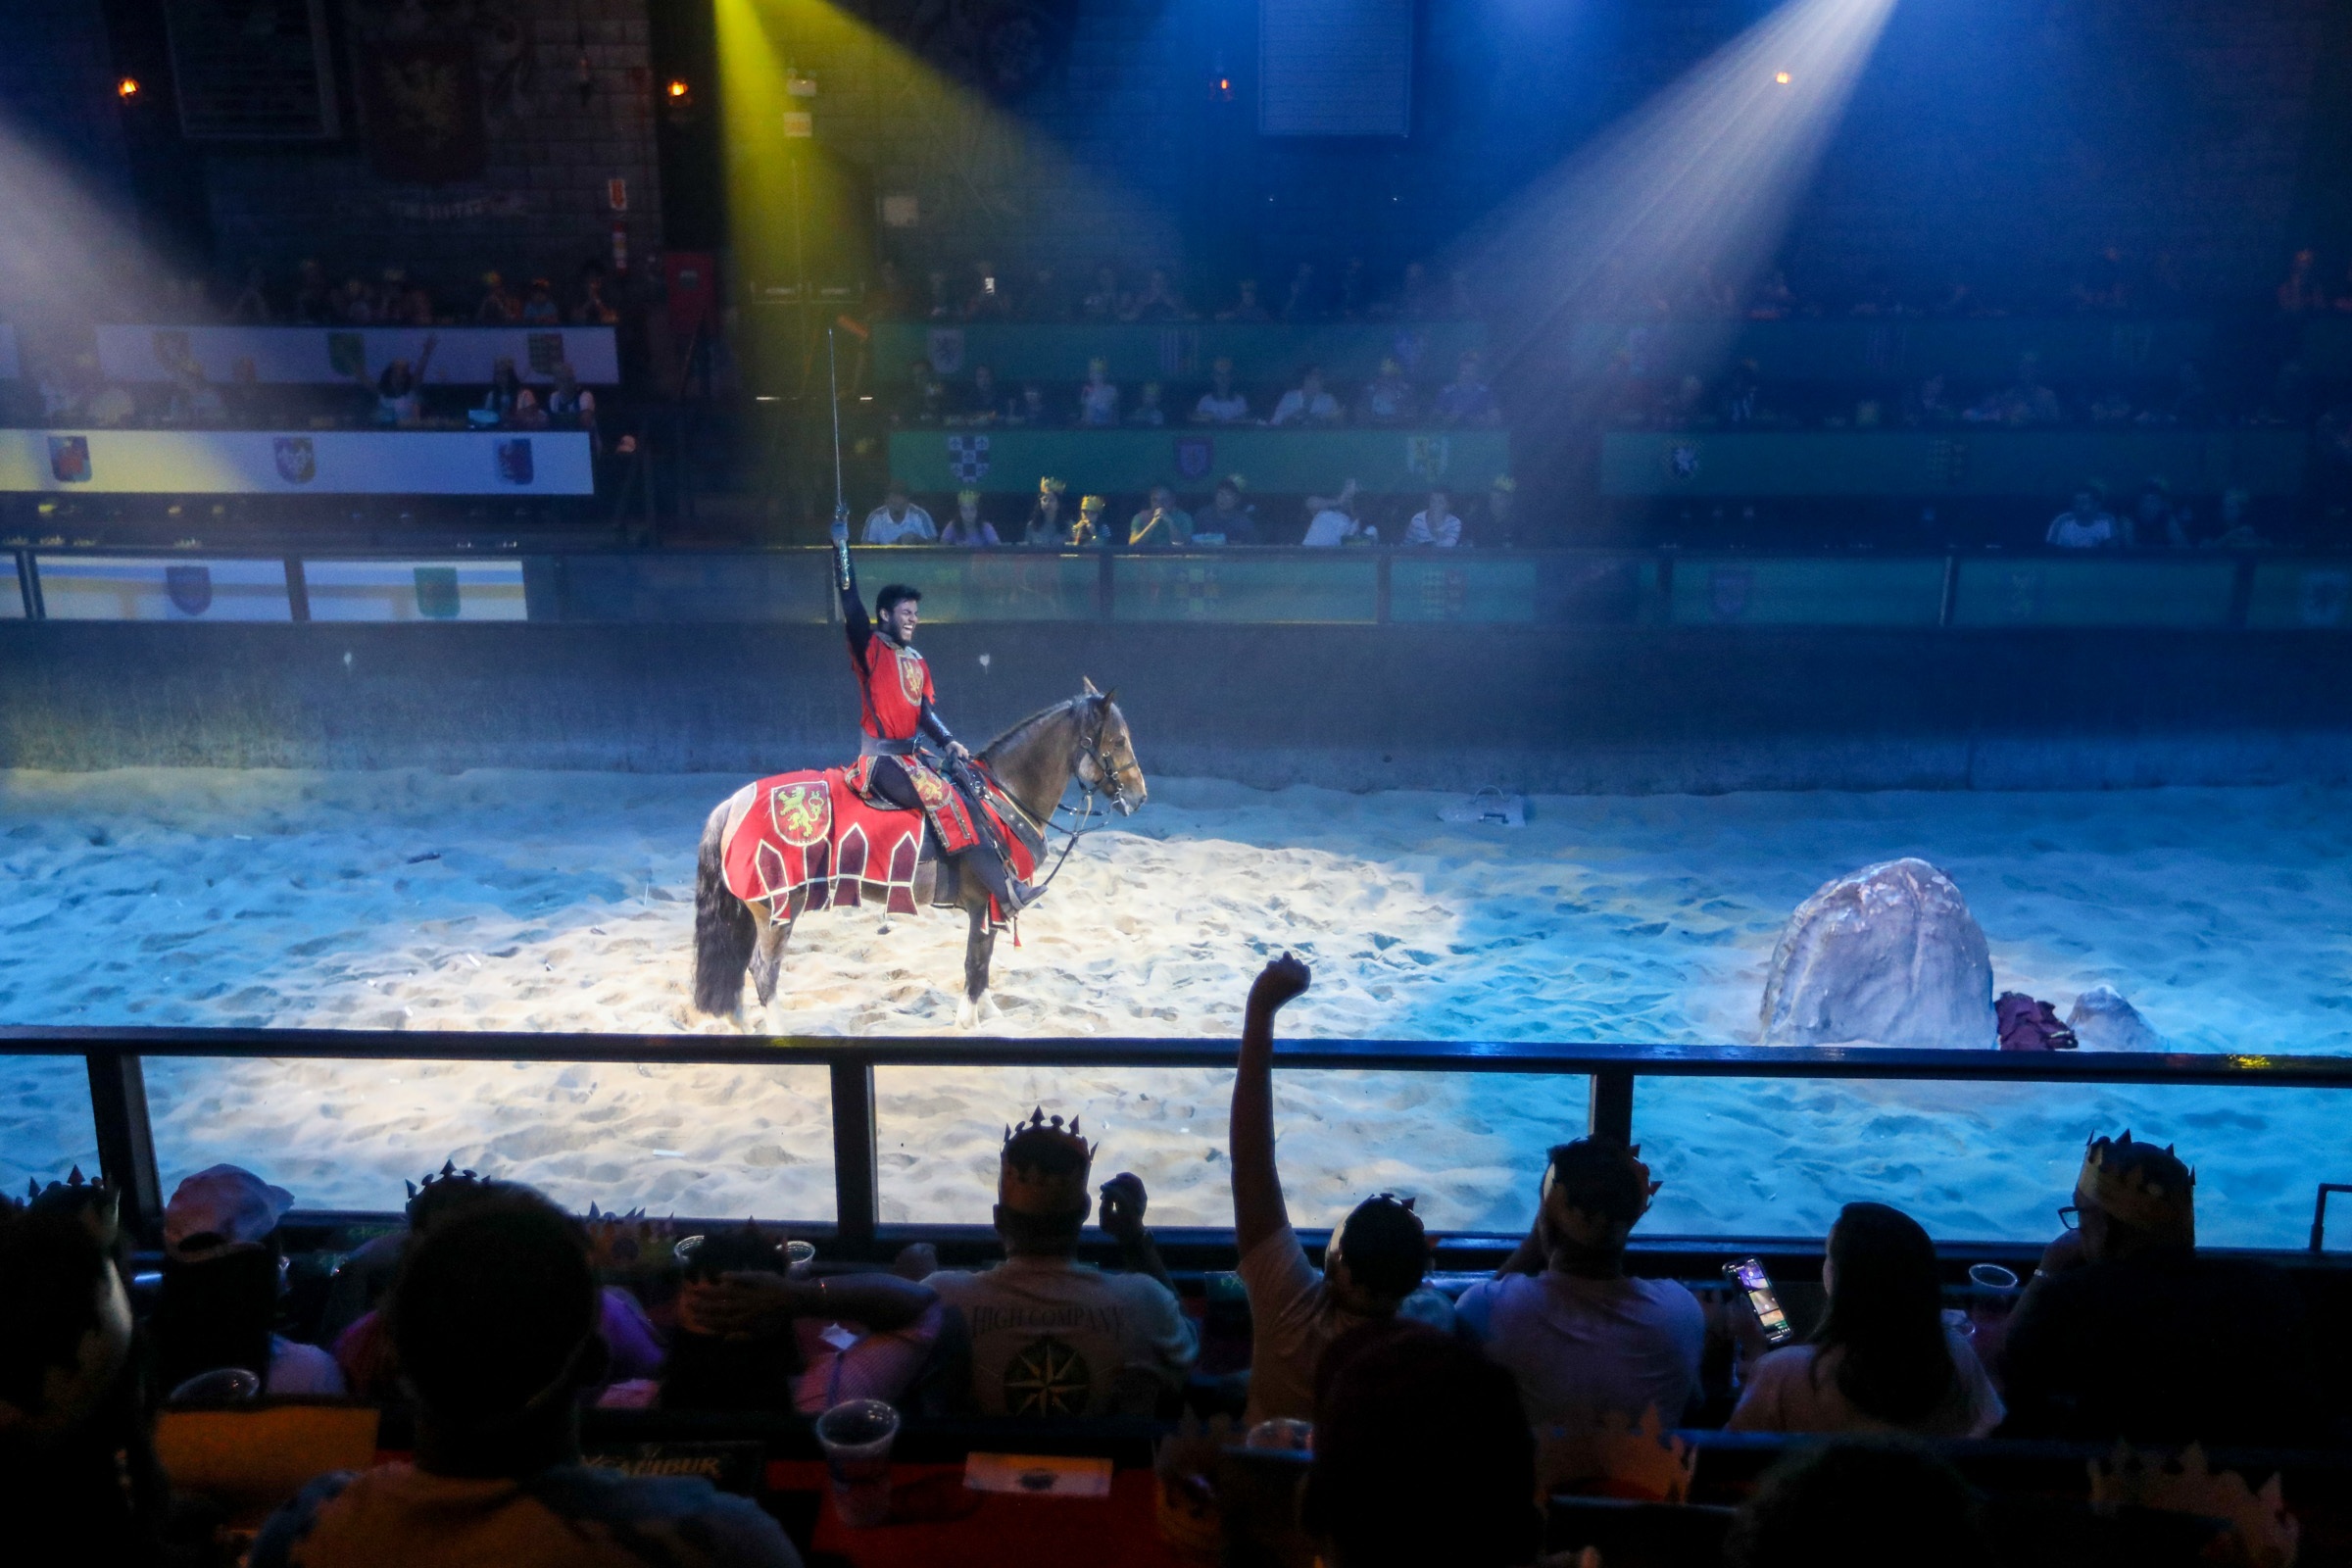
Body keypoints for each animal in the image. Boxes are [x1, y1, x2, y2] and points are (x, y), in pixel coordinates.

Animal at [686, 681, 1148, 1029]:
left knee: (738, 968)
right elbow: (975, 962)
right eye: (1119, 740)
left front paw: (988, 1013)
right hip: (778, 909)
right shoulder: (988, 899)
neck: (999, 795)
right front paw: (969, 1021)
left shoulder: (989, 906)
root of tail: (734, 803)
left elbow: (983, 962)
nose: (1139, 796)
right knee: (763, 971)